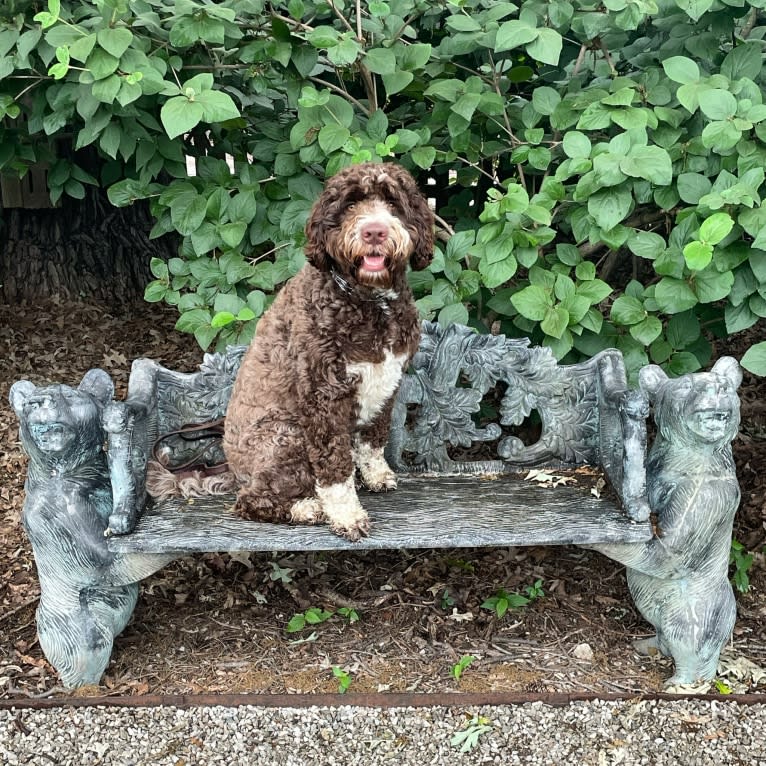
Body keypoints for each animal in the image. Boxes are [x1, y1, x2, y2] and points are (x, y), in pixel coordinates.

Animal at [225, 165, 436, 544]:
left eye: (393, 203)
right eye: (350, 204)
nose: (374, 231)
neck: (370, 302)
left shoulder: (387, 383)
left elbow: (373, 438)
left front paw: (375, 475)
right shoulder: (323, 395)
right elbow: (334, 467)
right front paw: (346, 515)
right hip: (285, 435)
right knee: (251, 501)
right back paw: (308, 508)